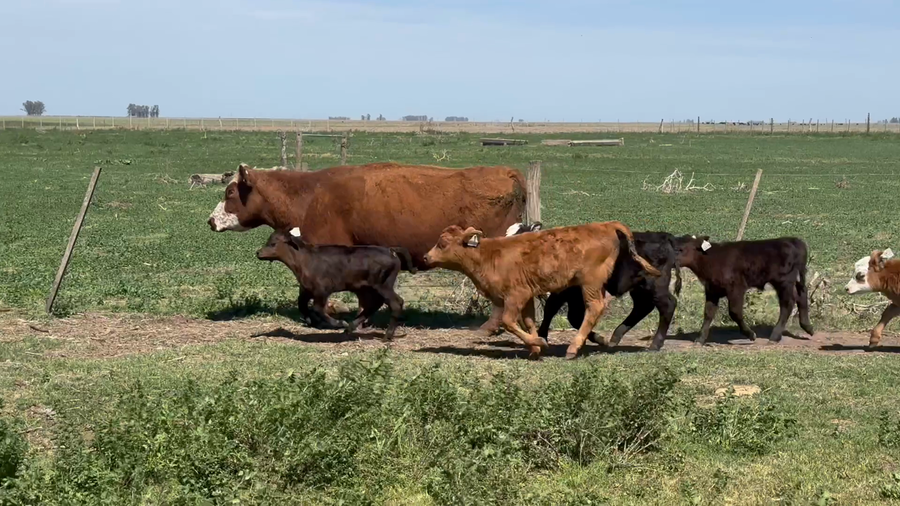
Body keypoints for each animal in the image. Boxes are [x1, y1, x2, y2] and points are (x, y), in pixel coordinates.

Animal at [255, 227, 416, 340]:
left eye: (273, 243)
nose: (258, 252)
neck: (305, 259)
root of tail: (390, 250)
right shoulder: (307, 290)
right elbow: (302, 305)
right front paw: (310, 320)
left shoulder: (322, 290)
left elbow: (318, 309)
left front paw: (338, 323)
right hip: (368, 288)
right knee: (374, 305)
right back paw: (350, 328)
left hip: (382, 285)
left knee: (395, 303)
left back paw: (386, 335)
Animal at [423, 222, 661, 359]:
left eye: (442, 243)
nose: (425, 257)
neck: (489, 256)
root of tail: (606, 225)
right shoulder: (527, 296)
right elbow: (528, 322)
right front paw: (535, 347)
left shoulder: (515, 296)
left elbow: (508, 322)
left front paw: (539, 342)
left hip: (590, 283)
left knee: (594, 308)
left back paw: (573, 348)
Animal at [506, 222, 683, 351]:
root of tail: (663, 236)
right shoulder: (567, 293)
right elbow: (555, 311)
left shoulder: (570, 293)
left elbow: (568, 315)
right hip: (639, 289)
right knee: (643, 307)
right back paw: (615, 337)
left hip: (654, 286)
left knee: (667, 305)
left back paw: (655, 343)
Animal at [674, 235, 815, 345]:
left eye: (681, 249)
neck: (712, 258)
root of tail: (792, 240)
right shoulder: (712, 290)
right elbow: (708, 313)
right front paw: (700, 338)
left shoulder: (736, 288)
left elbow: (735, 312)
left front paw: (750, 334)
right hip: (795, 280)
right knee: (801, 294)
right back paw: (808, 327)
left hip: (784, 281)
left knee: (788, 303)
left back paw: (775, 336)